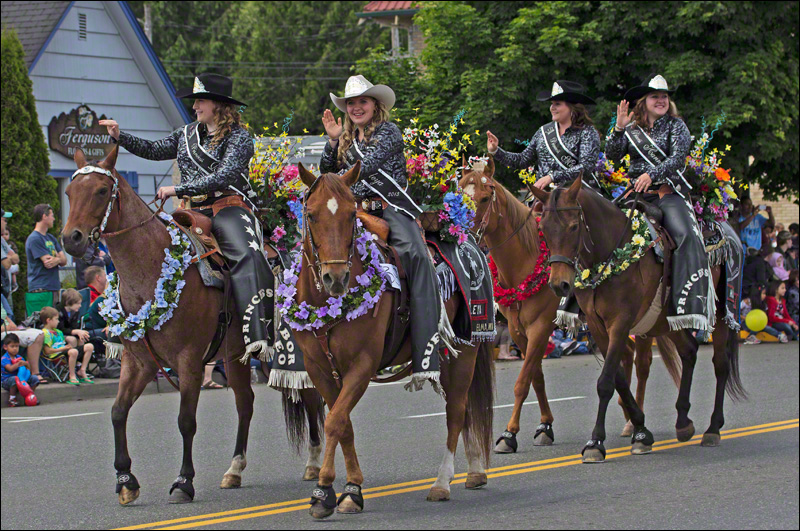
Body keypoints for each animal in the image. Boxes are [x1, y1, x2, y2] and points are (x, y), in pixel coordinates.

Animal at [61, 148, 326, 504]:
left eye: (102, 191)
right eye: (69, 193)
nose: (71, 239)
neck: (150, 270)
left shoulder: (189, 361)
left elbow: (186, 421)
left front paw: (183, 482)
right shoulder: (139, 362)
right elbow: (118, 412)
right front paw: (125, 480)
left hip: (291, 353)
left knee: (309, 396)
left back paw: (314, 463)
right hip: (236, 355)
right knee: (246, 402)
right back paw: (234, 469)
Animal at [294, 163, 494, 520]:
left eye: (351, 215)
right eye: (311, 214)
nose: (336, 278)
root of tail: (467, 238)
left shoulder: (362, 365)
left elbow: (334, 421)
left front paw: (330, 490)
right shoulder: (320, 370)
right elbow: (342, 423)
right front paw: (341, 492)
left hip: (465, 351)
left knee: (457, 412)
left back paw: (442, 483)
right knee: (467, 412)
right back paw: (474, 472)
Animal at [460, 161, 680, 448]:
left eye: (485, 198)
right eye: (459, 193)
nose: (464, 234)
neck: (526, 262)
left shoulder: (541, 327)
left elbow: (523, 381)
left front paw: (509, 434)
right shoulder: (518, 330)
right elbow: (536, 378)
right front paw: (544, 426)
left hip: (643, 319)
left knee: (643, 362)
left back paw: (636, 423)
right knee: (627, 355)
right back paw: (628, 414)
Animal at [532, 178, 744, 462]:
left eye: (574, 226)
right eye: (543, 229)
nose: (559, 284)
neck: (612, 251)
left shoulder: (621, 322)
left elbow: (606, 382)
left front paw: (595, 442)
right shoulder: (599, 326)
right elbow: (619, 378)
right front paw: (641, 431)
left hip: (720, 312)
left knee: (720, 364)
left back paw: (713, 429)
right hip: (666, 319)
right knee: (689, 351)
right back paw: (683, 422)